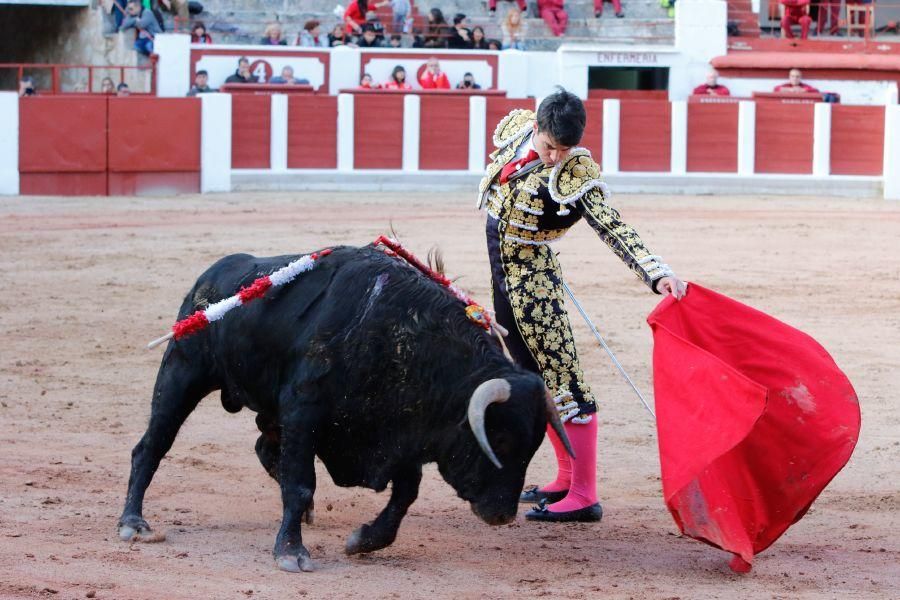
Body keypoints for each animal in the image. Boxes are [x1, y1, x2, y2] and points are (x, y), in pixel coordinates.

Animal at [119, 244, 572, 572]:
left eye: (533, 446)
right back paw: (133, 523)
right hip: (182, 374)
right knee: (150, 446)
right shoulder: (303, 410)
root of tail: (210, 278)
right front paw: (291, 552)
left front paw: (364, 541)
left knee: (264, 448)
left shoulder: (405, 429)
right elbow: (301, 482)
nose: (503, 514)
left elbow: (405, 493)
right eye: (499, 438)